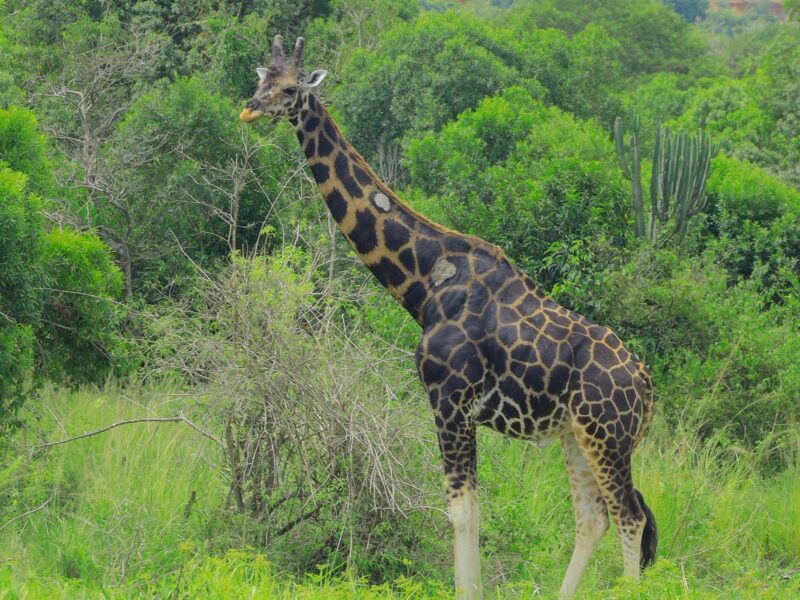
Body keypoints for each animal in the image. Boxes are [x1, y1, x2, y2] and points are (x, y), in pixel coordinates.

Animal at [240, 35, 658, 599]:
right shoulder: (459, 407)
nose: (249, 108)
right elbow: (472, 512)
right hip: (577, 434)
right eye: (262, 79)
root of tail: (647, 387)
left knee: (630, 516)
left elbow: (461, 512)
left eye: (289, 89)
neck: (426, 284)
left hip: (607, 434)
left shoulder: (448, 398)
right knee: (593, 518)